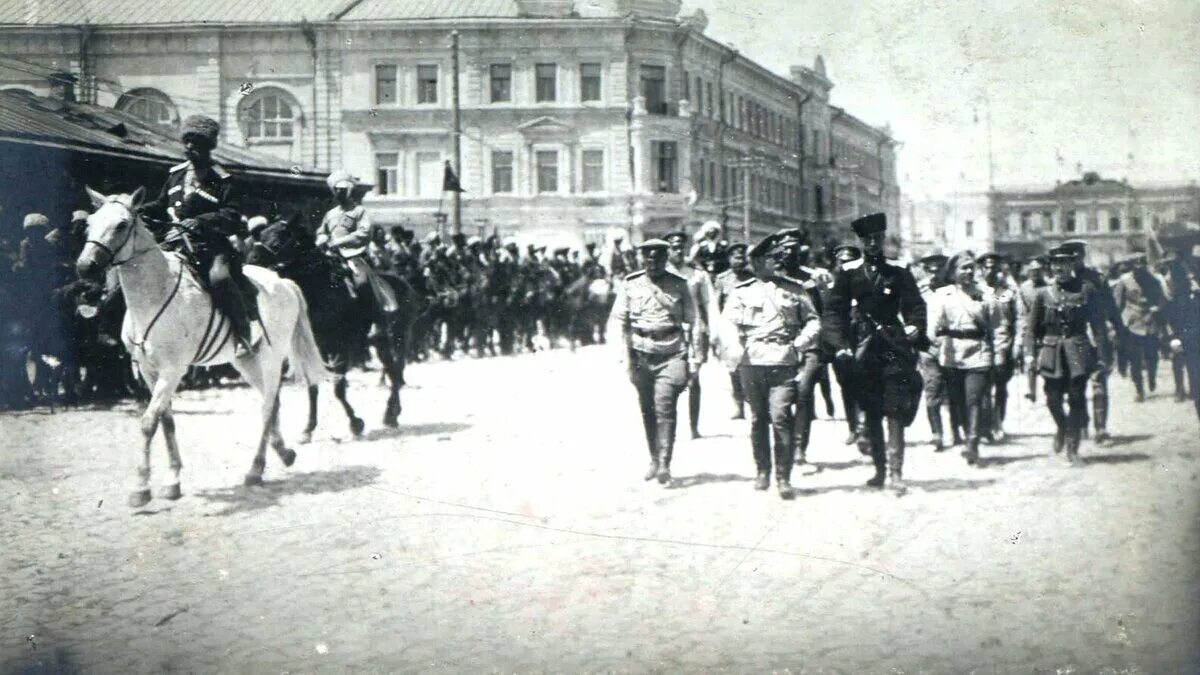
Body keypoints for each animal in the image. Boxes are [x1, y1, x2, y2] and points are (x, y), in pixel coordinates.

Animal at [76, 186, 328, 506]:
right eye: (89, 222)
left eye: (121, 224)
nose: (85, 266)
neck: (154, 295)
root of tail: (283, 281)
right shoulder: (148, 371)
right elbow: (167, 420)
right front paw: (172, 480)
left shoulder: (173, 370)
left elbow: (148, 422)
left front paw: (141, 488)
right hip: (246, 361)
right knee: (273, 402)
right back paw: (283, 453)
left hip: (271, 359)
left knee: (268, 405)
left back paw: (255, 469)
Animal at [246, 220, 424, 439]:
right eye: (260, 235)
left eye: (278, 239)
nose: (250, 259)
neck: (322, 289)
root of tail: (406, 285)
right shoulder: (314, 350)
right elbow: (313, 387)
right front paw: (308, 428)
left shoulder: (340, 347)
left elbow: (338, 388)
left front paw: (356, 424)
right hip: (381, 344)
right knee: (392, 371)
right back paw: (392, 413)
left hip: (399, 338)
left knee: (396, 371)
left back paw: (391, 415)